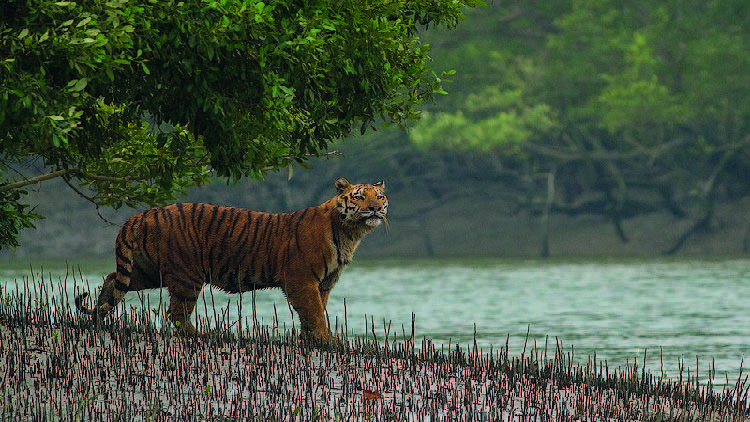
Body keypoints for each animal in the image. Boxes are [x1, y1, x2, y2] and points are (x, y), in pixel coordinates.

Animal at [75, 176, 388, 342]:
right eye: (359, 197)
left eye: (380, 196)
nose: (374, 208)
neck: (350, 232)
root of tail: (142, 214)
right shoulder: (301, 278)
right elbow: (313, 311)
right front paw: (326, 339)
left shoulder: (324, 282)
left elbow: (315, 311)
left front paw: (311, 339)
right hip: (187, 275)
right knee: (176, 313)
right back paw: (202, 335)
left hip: (148, 270)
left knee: (112, 280)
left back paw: (99, 316)